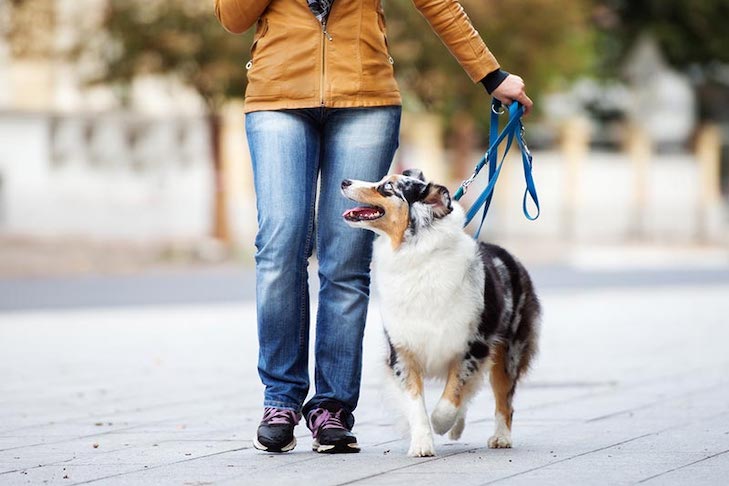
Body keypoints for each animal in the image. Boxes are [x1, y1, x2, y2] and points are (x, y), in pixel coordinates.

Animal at [338, 169, 536, 458]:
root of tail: (510, 256)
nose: (344, 182)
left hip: (509, 351)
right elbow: (416, 402)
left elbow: (451, 397)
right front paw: (421, 443)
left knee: (504, 399)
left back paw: (500, 437)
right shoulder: (402, 350)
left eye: (387, 187)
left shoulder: (471, 346)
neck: (414, 253)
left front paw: (441, 423)